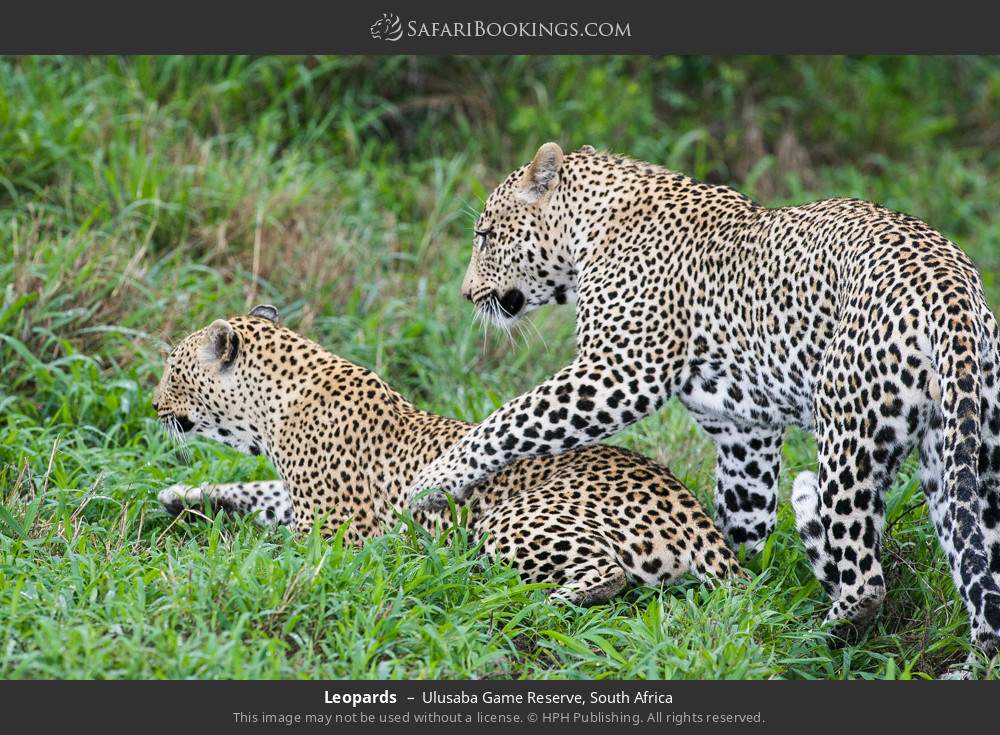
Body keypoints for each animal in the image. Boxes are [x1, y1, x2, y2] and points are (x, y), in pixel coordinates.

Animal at [150, 304, 744, 604]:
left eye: (174, 369)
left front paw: (209, 563)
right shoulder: (297, 500)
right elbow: (252, 491)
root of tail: (690, 510)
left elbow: (268, 551)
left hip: (512, 521)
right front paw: (181, 496)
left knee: (609, 573)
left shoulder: (333, 534)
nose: (153, 405)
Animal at [406, 141, 1000, 660]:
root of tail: (951, 286)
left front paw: (431, 483)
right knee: (980, 570)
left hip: (848, 439)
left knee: (865, 583)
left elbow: (510, 420)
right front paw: (737, 595)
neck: (590, 228)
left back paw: (809, 638)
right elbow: (743, 519)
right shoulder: (743, 430)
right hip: (967, 455)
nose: (465, 294)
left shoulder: (618, 373)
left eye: (485, 235)